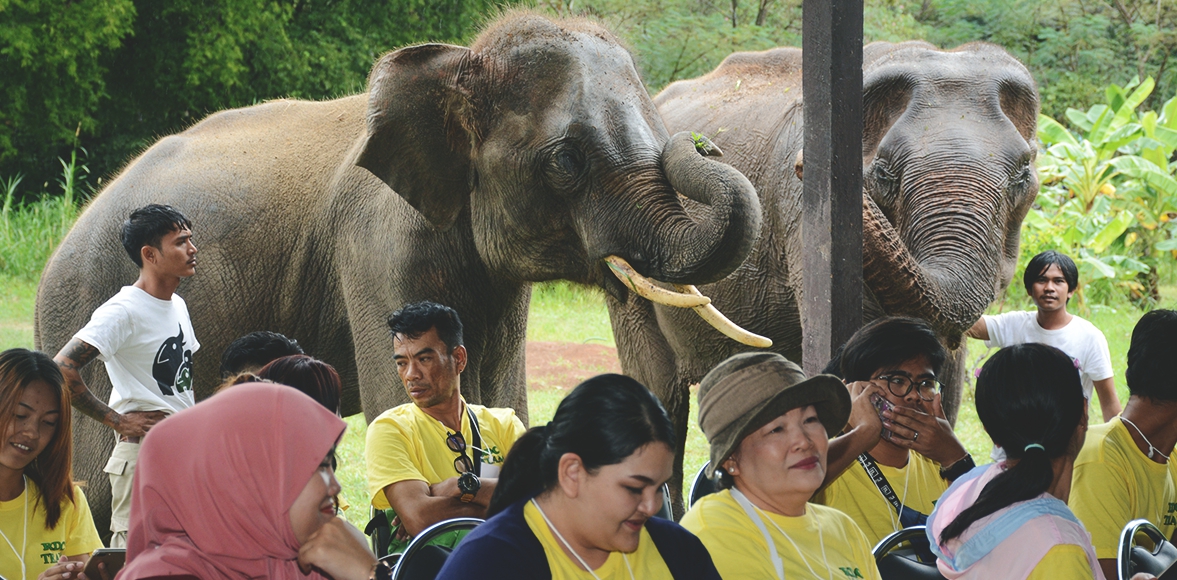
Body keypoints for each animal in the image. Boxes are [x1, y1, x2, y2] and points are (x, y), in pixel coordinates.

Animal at [34, 12, 762, 538]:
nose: (701, 143)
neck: (455, 65)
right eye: (565, 161)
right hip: (83, 303)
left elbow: (501, 393)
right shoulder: (376, 245)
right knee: (97, 489)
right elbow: (395, 397)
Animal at [612, 39, 1045, 510]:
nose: (805, 162)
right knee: (661, 395)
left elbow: (943, 376)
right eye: (884, 173)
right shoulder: (804, 212)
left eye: (1023, 174)